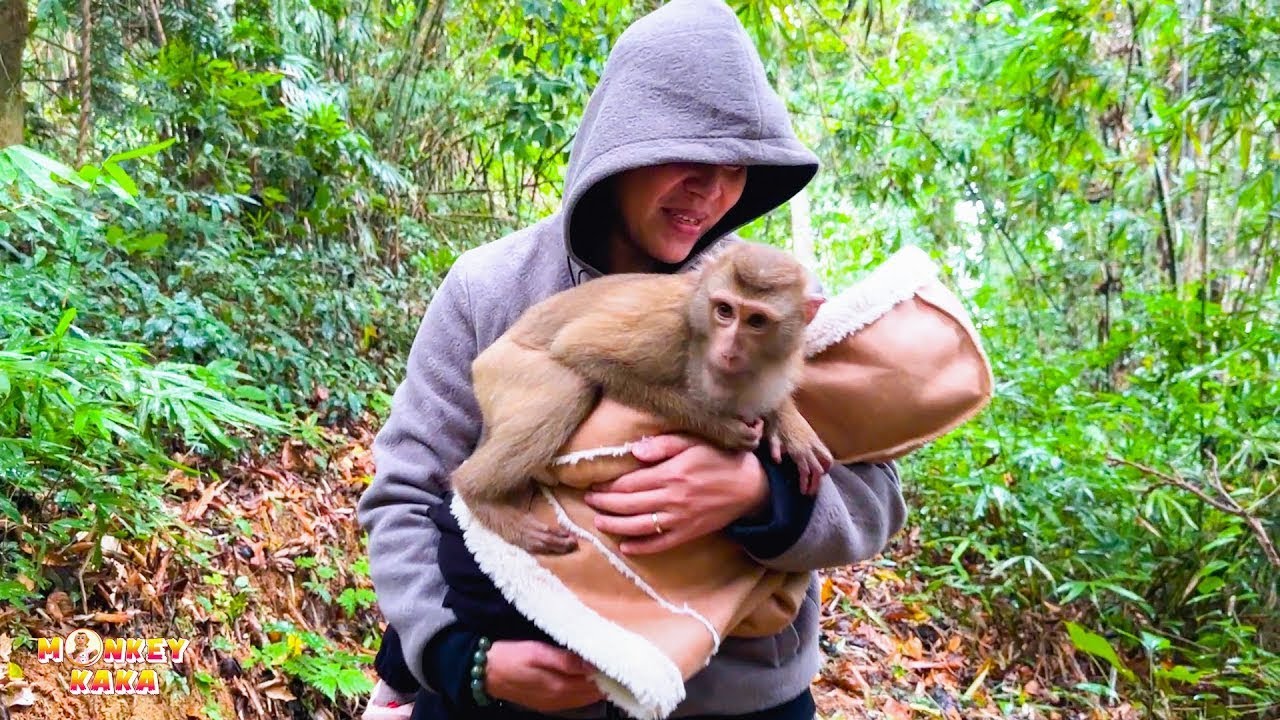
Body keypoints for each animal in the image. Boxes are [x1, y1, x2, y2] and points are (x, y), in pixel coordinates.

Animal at [450, 241, 834, 555]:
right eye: (724, 310)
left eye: (756, 321)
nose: (728, 350)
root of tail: (482, 361)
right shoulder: (666, 325)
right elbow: (581, 348)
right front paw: (722, 428)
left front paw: (790, 426)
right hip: (503, 368)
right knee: (570, 387)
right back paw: (476, 492)